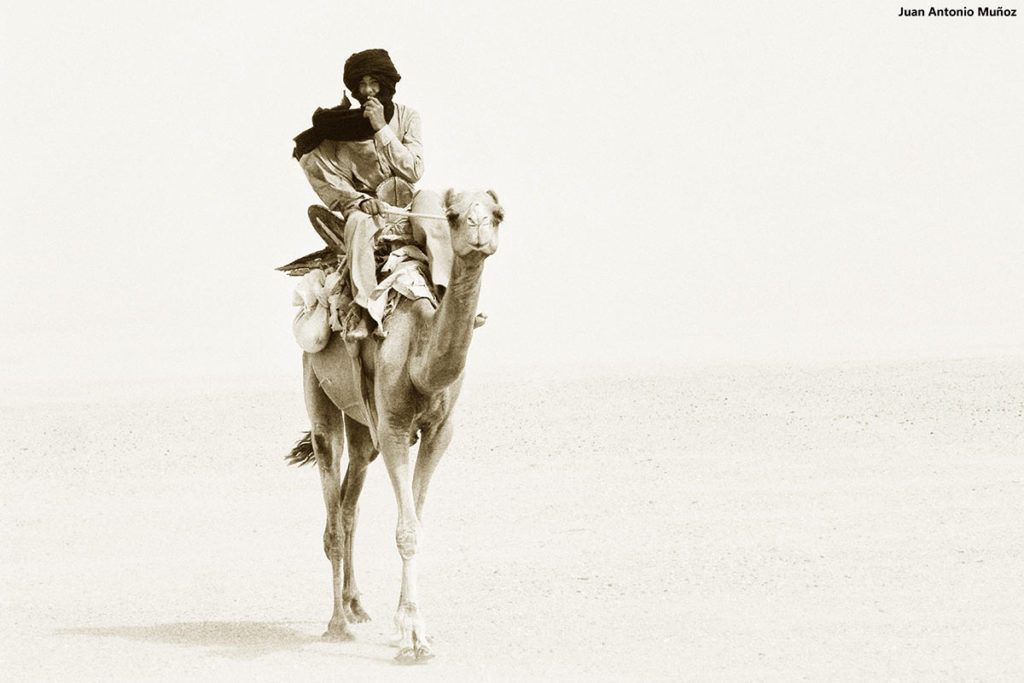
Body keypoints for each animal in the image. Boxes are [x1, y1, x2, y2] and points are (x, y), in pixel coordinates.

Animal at [286, 185, 501, 663]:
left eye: (498, 213)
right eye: (453, 216)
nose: (479, 227)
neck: (420, 356)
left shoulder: (440, 432)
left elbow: (416, 521)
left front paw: (410, 629)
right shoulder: (394, 429)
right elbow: (406, 531)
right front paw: (414, 637)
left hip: (363, 427)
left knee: (349, 505)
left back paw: (356, 604)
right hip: (318, 390)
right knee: (332, 507)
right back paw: (338, 623)